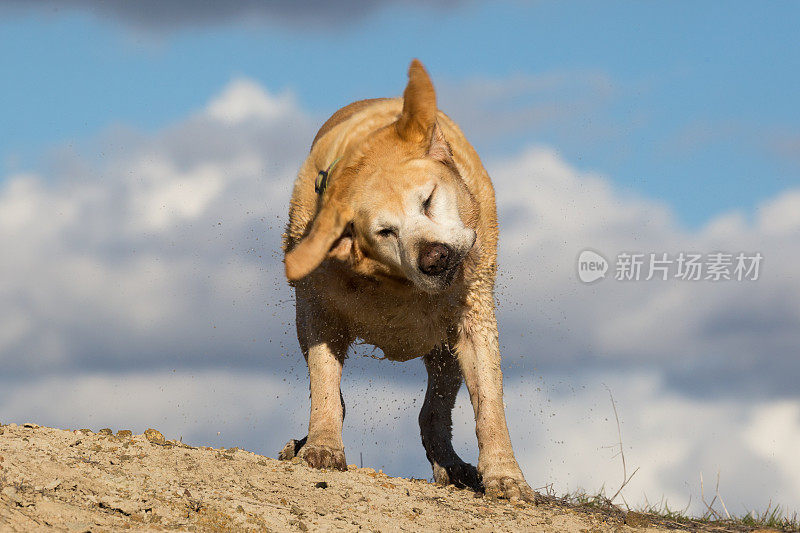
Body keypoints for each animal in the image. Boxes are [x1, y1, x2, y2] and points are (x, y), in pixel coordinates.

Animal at [278, 60, 536, 500]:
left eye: (428, 199)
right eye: (385, 232)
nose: (434, 257)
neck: (400, 287)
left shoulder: (472, 318)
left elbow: (490, 404)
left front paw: (505, 477)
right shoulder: (318, 312)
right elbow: (326, 384)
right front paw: (322, 445)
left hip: (445, 350)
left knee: (433, 413)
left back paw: (453, 465)